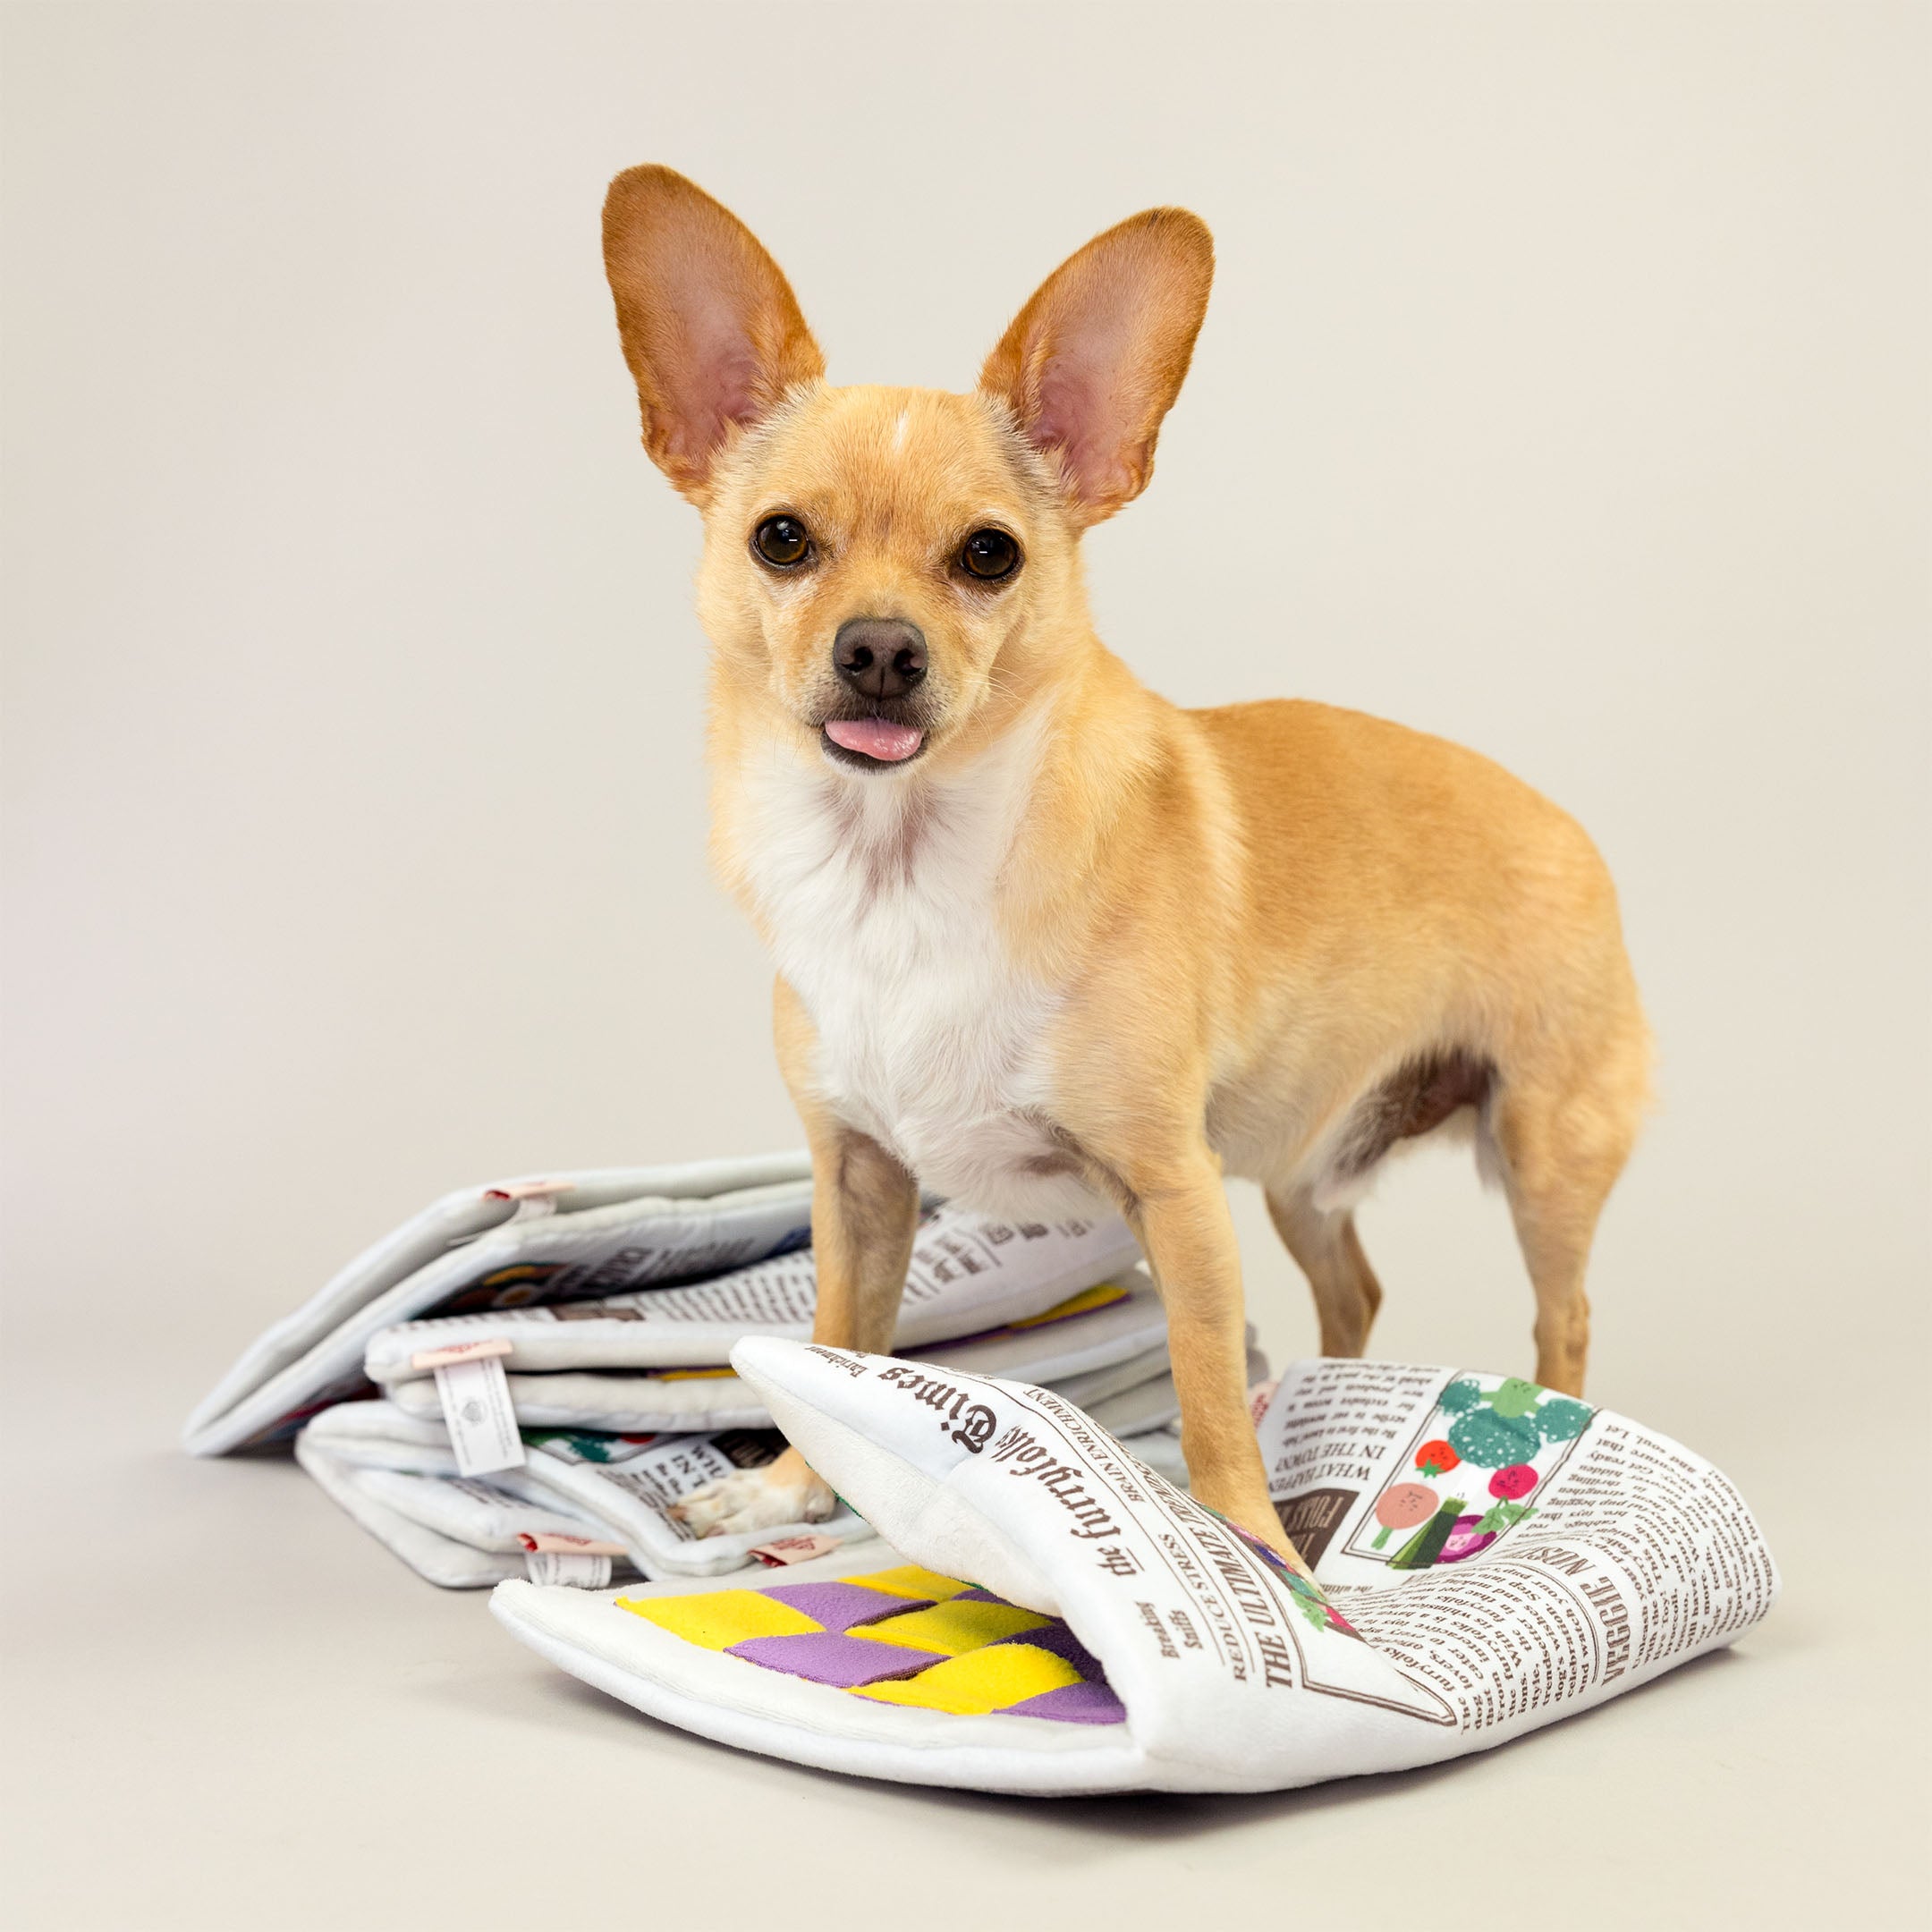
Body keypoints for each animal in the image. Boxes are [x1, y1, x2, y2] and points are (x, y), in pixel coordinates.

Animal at [598, 158, 1646, 1561]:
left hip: (1544, 1154)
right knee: (1357, 1290)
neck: (901, 873)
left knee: (1564, 1313)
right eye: (781, 540)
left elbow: (1196, 1384)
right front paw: (791, 1486)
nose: (881, 648)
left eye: (989, 555)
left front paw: (1246, 1549)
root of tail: (1566, 823)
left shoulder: (1176, 1191)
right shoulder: (859, 1183)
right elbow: (834, 1342)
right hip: (1307, 1175)